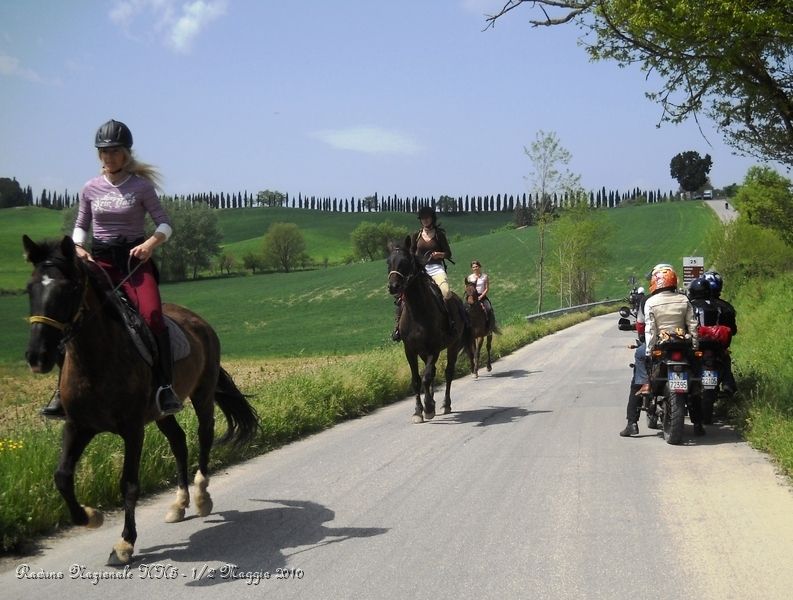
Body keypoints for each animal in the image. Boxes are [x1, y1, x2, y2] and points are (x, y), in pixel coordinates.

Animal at [23, 236, 258, 568]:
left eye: (68, 289)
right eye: (30, 288)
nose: (37, 357)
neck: (96, 361)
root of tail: (199, 322)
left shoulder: (133, 429)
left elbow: (129, 484)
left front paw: (124, 543)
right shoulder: (77, 426)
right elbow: (62, 477)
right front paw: (91, 516)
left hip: (202, 394)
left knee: (204, 435)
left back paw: (201, 497)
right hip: (162, 413)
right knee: (179, 442)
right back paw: (179, 503)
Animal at [386, 237, 474, 424]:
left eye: (405, 262)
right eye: (388, 262)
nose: (393, 286)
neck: (417, 311)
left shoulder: (434, 348)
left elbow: (426, 377)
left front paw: (427, 408)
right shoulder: (410, 350)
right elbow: (416, 380)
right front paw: (418, 411)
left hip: (452, 346)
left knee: (448, 373)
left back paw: (445, 405)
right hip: (423, 352)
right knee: (432, 374)